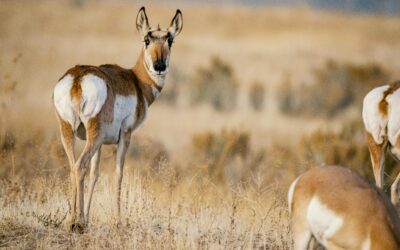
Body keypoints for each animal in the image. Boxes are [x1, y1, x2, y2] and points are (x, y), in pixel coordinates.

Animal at [52, 6, 183, 231]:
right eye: (147, 39)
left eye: (170, 40)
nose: (159, 66)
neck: (136, 80)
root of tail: (78, 77)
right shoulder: (125, 135)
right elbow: (118, 173)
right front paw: (118, 220)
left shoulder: (100, 144)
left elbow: (95, 174)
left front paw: (89, 217)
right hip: (93, 134)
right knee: (79, 166)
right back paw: (77, 222)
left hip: (70, 131)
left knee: (73, 166)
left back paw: (73, 220)